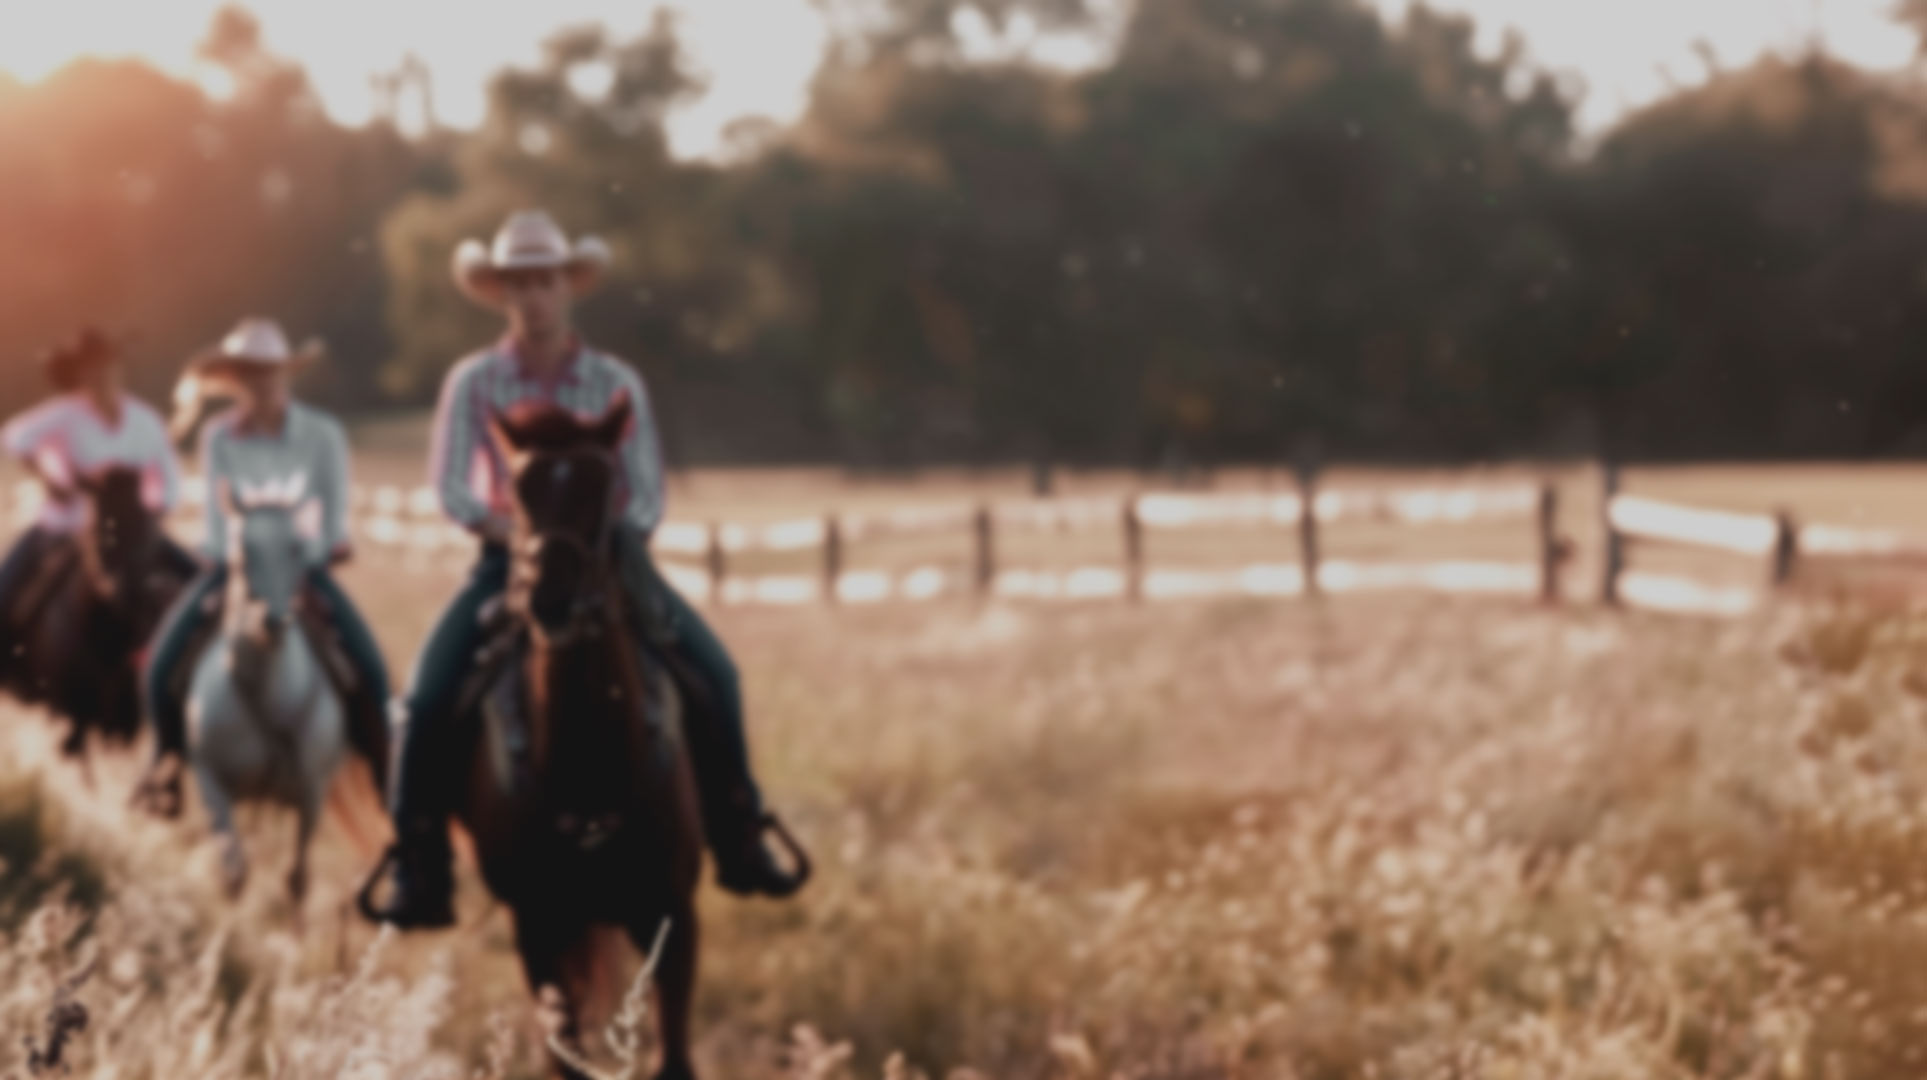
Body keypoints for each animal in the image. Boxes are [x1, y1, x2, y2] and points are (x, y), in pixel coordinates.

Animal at [185, 473, 345, 911]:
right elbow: (234, 870)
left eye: (297, 549)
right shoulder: (210, 779)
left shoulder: (312, 792)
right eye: (242, 549)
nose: (272, 621)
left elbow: (297, 879)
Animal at [366, 398, 706, 1080]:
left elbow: (675, 1059)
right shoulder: (539, 925)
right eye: (520, 492)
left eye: (601, 486)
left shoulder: (673, 916)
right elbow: (564, 1055)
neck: (590, 766)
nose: (551, 598)